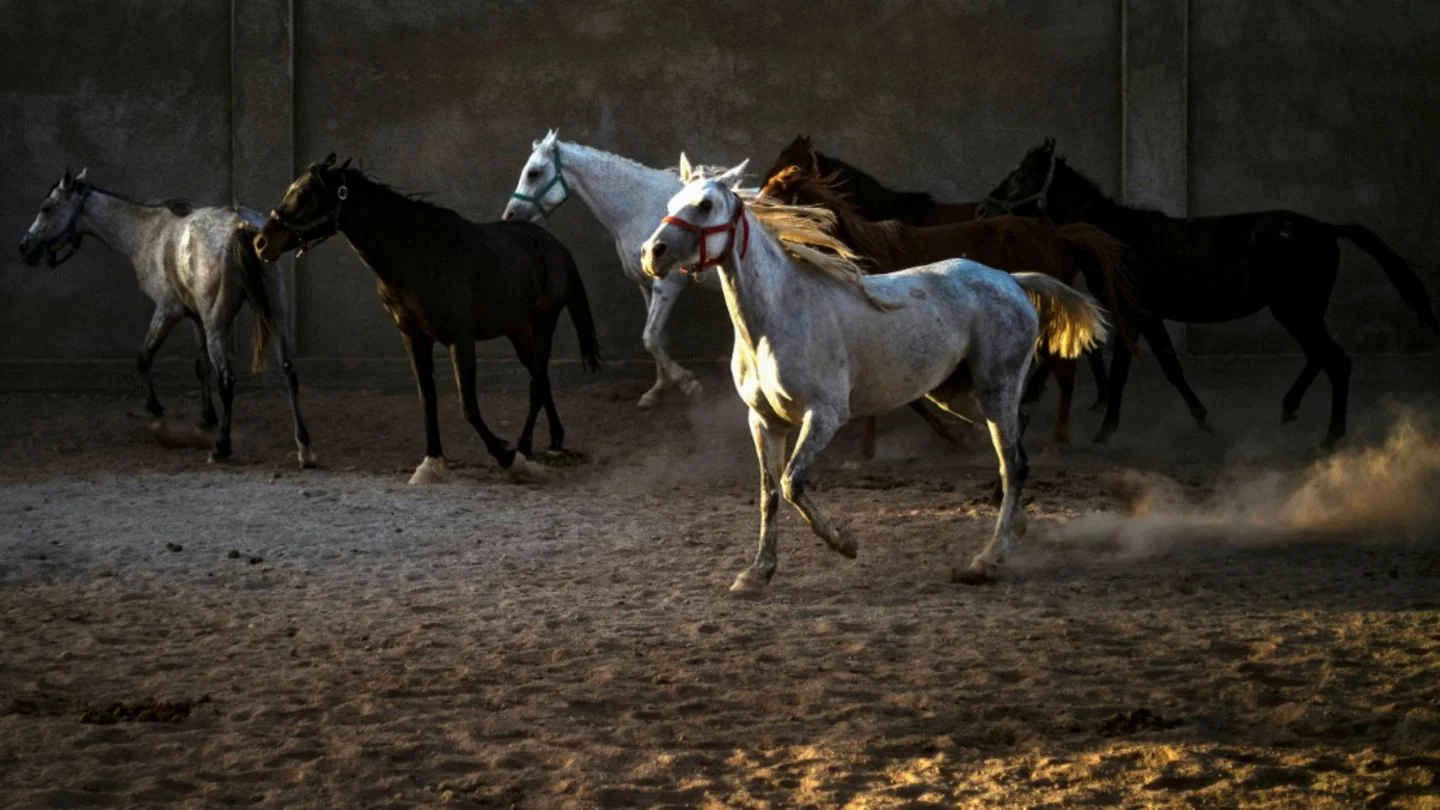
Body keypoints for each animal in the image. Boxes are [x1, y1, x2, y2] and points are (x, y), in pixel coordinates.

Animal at [17, 168, 313, 467]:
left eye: (47, 208)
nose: (24, 248)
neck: (150, 233)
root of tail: (244, 227)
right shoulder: (196, 319)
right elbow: (200, 367)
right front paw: (206, 419)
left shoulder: (167, 311)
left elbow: (144, 359)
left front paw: (157, 414)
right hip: (275, 317)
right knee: (289, 374)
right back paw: (304, 447)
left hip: (218, 327)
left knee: (227, 381)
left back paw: (221, 448)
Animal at [253, 153, 601, 484]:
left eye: (305, 194)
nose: (261, 242)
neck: (417, 254)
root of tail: (554, 245)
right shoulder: (413, 336)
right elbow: (426, 398)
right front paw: (431, 462)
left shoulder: (460, 340)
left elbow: (468, 405)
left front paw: (506, 456)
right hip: (518, 330)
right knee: (541, 379)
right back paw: (552, 442)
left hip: (543, 321)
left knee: (537, 381)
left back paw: (525, 449)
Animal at [979, 139, 1439, 447]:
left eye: (1022, 174)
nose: (985, 209)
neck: (1116, 240)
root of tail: (1326, 229)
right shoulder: (1150, 316)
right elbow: (1170, 366)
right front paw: (1200, 419)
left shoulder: (1134, 313)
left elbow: (1129, 369)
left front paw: (1105, 430)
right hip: (1299, 311)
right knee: (1318, 357)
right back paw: (1290, 408)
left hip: (1296, 310)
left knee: (1337, 362)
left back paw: (1332, 435)